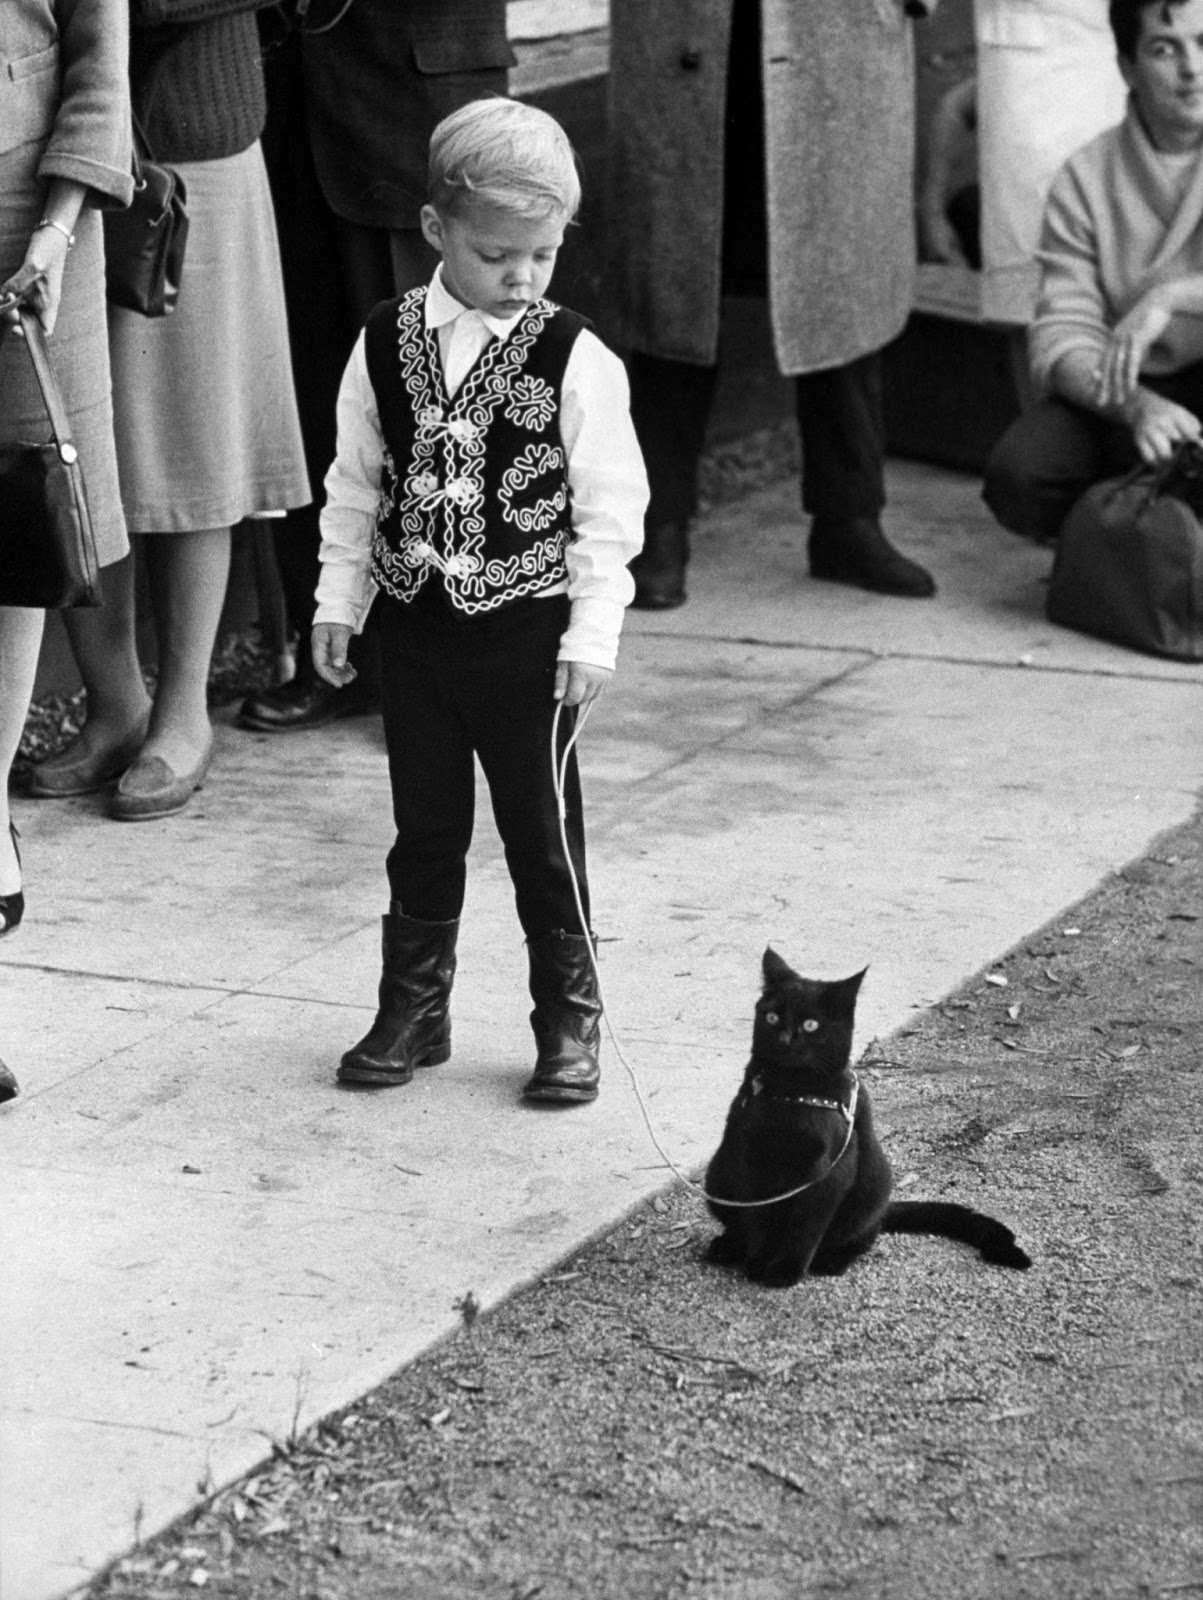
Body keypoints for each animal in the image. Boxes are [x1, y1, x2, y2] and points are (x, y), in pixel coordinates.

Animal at [703, 947, 1036, 1286]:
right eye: (772, 1017)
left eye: (810, 1025)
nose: (784, 1038)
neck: (790, 1093)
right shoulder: (749, 1160)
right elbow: (757, 1220)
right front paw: (757, 1262)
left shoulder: (831, 1173)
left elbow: (805, 1229)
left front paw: (785, 1272)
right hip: (717, 1175)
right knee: (738, 1223)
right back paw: (727, 1247)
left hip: (873, 1185)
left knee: (864, 1235)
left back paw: (833, 1259)